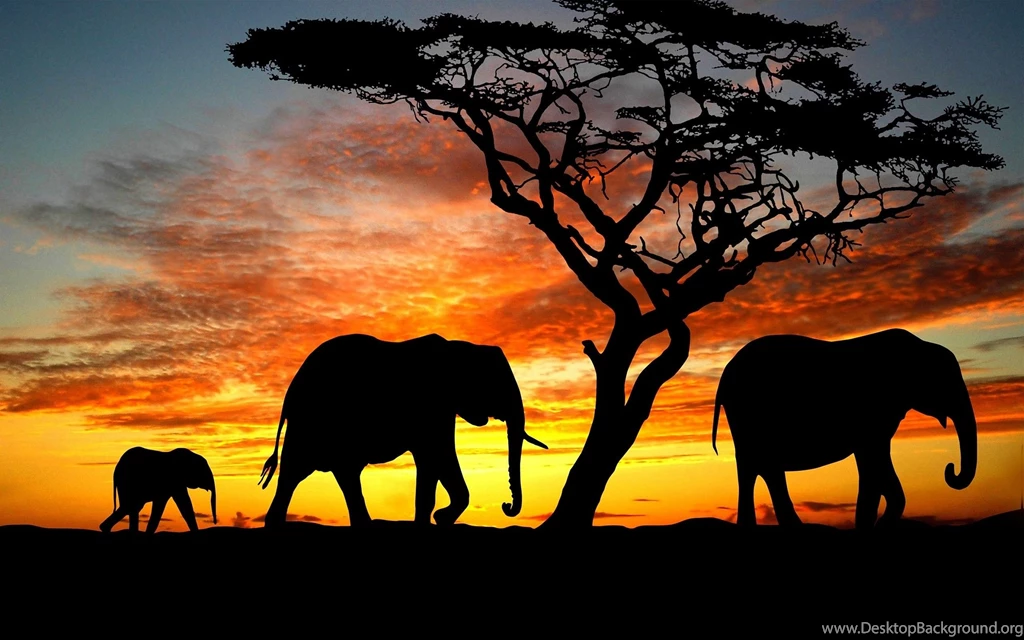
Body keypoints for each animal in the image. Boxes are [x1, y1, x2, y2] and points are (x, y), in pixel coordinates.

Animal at [257, 333, 548, 528]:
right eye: (498, 385)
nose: (506, 505)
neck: (460, 348)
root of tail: (290, 392)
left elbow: (437, 460)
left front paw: (438, 519)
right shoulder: (431, 406)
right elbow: (437, 455)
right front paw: (437, 519)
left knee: (339, 474)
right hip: (311, 422)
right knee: (297, 472)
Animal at [711, 328, 977, 530]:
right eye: (946, 382)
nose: (950, 470)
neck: (919, 346)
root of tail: (725, 376)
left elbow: (876, 465)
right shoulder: (873, 413)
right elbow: (873, 463)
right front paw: (872, 525)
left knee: (759, 468)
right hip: (750, 415)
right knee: (760, 467)